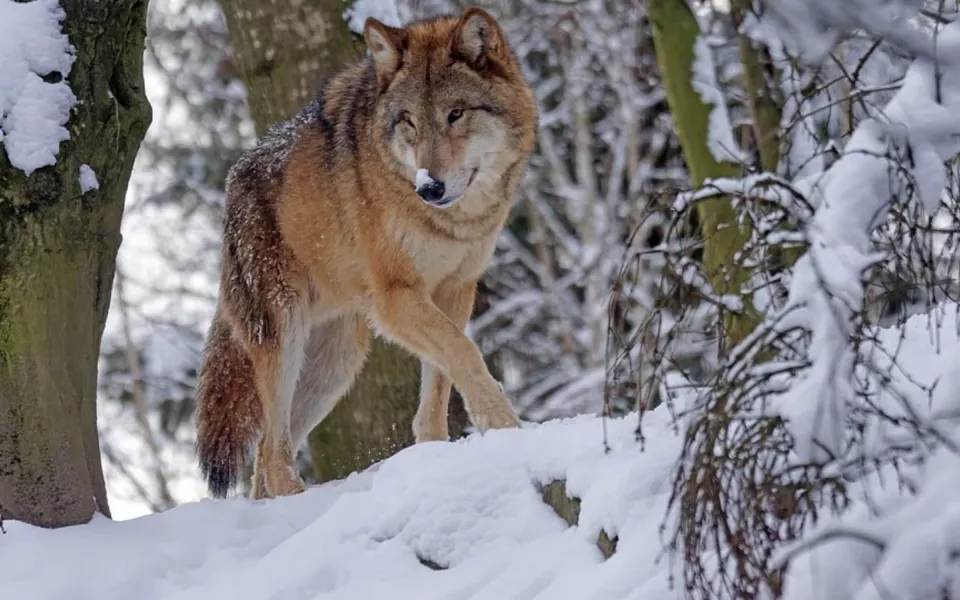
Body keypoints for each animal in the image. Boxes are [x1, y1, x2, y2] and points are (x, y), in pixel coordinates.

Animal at [195, 7, 540, 500]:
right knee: (273, 453)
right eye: (409, 120)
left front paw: (438, 456)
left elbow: (440, 384)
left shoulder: (455, 291)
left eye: (456, 114)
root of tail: (232, 183)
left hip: (335, 365)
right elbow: (465, 354)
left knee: (266, 455)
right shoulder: (396, 298)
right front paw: (506, 428)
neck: (454, 222)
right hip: (285, 338)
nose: (429, 187)